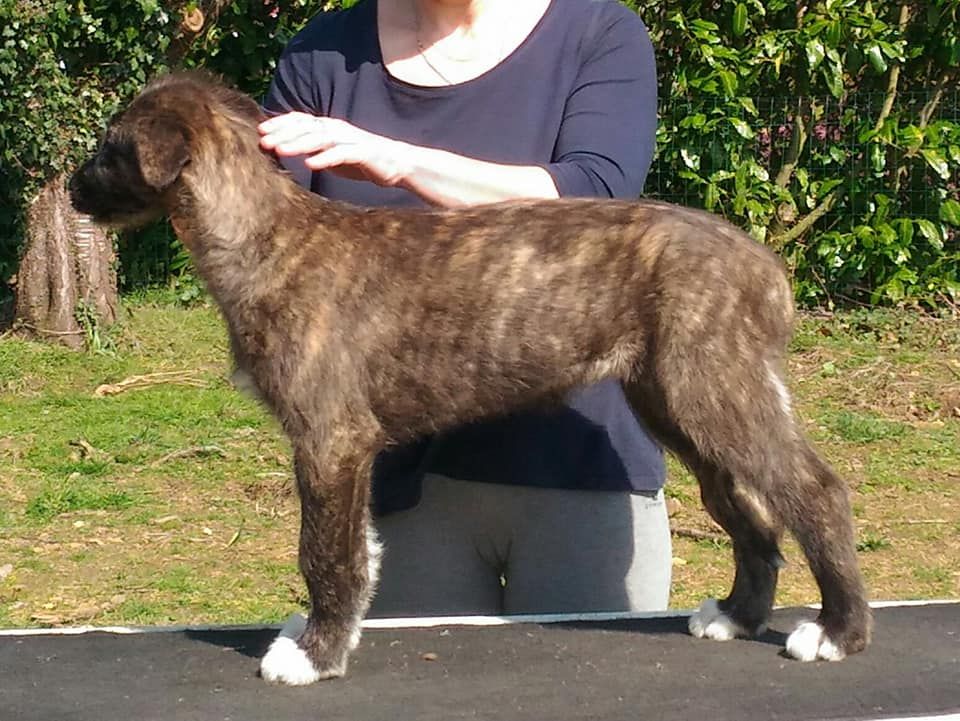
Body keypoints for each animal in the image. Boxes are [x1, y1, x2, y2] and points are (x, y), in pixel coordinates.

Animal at [69, 72, 871, 685]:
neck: (268, 236)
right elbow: (358, 551)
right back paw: (738, 616)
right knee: (749, 509)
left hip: (715, 387)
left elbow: (324, 552)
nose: (70, 189)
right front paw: (329, 636)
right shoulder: (346, 449)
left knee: (814, 492)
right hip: (680, 405)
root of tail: (766, 267)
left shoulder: (330, 437)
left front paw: (315, 655)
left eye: (109, 147)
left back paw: (838, 631)